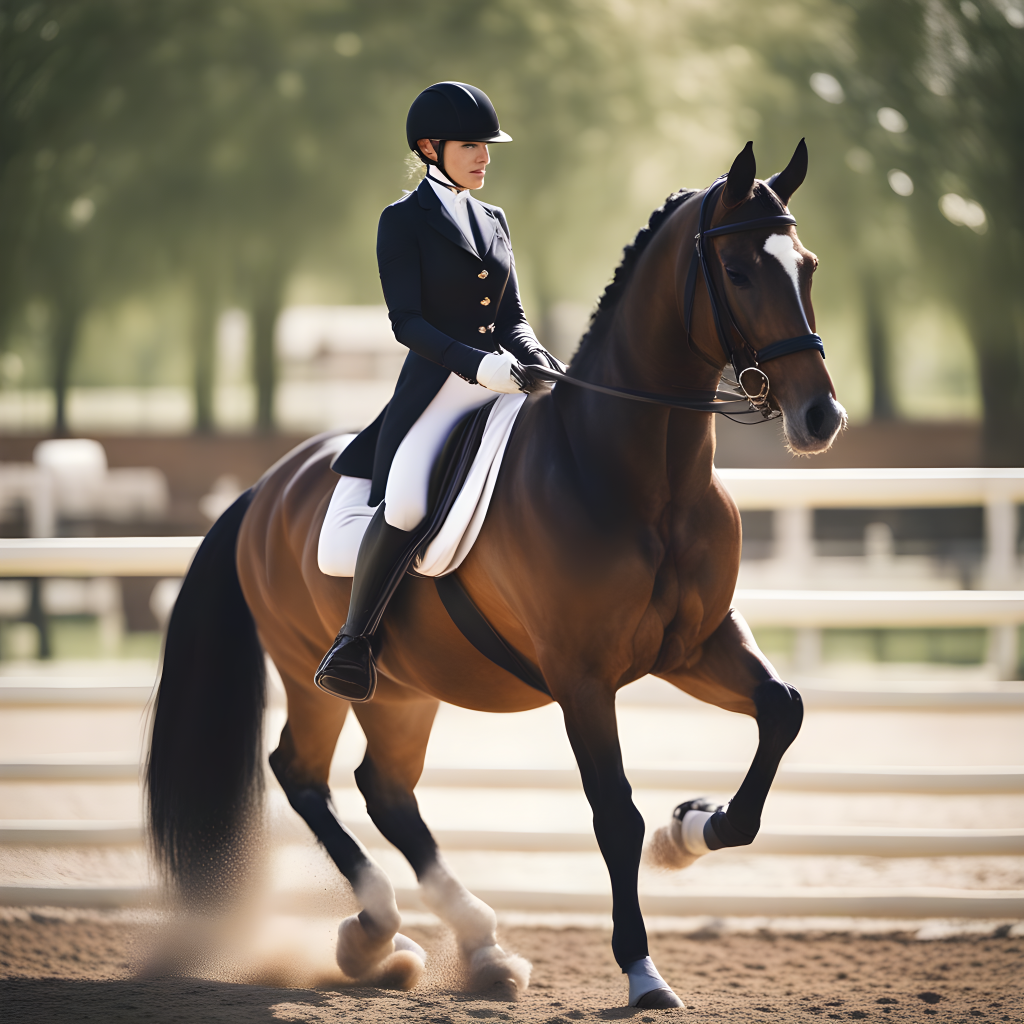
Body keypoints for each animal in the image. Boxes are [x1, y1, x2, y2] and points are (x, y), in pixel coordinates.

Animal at [146, 139, 846, 1007]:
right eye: (742, 272)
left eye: (806, 265)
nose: (820, 418)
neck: (635, 474)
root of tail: (265, 488)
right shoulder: (583, 677)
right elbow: (613, 813)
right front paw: (642, 970)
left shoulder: (694, 645)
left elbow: (781, 713)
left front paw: (687, 830)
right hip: (314, 674)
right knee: (302, 773)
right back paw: (378, 932)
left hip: (403, 690)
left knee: (385, 788)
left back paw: (477, 946)